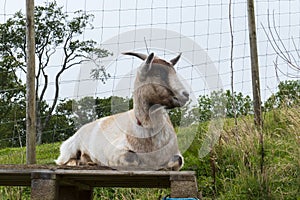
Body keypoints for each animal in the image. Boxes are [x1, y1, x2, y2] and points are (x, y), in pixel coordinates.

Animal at [55, 52, 189, 170]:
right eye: (158, 74)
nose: (185, 95)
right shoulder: (114, 151)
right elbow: (131, 158)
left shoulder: (176, 154)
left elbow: (177, 160)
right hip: (69, 148)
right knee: (63, 160)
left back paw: (88, 162)